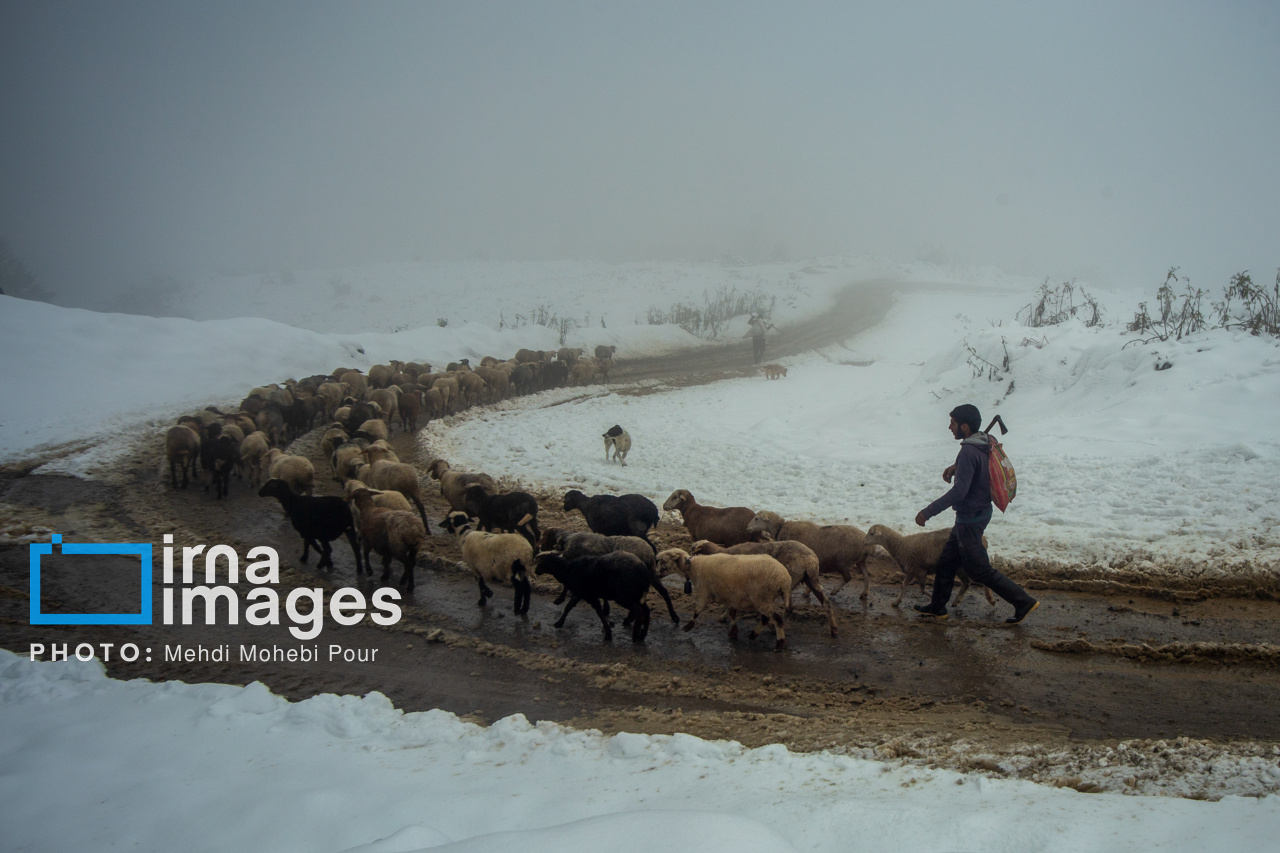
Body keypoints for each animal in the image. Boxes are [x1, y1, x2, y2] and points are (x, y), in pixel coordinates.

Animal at [660, 548, 788, 648]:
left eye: (663, 561)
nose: (657, 574)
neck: (694, 567)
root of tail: (784, 578)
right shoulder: (733, 596)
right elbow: (731, 613)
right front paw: (733, 632)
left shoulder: (704, 591)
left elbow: (698, 610)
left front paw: (688, 627)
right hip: (763, 599)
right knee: (766, 618)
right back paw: (754, 634)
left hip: (762, 598)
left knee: (777, 619)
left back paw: (779, 644)